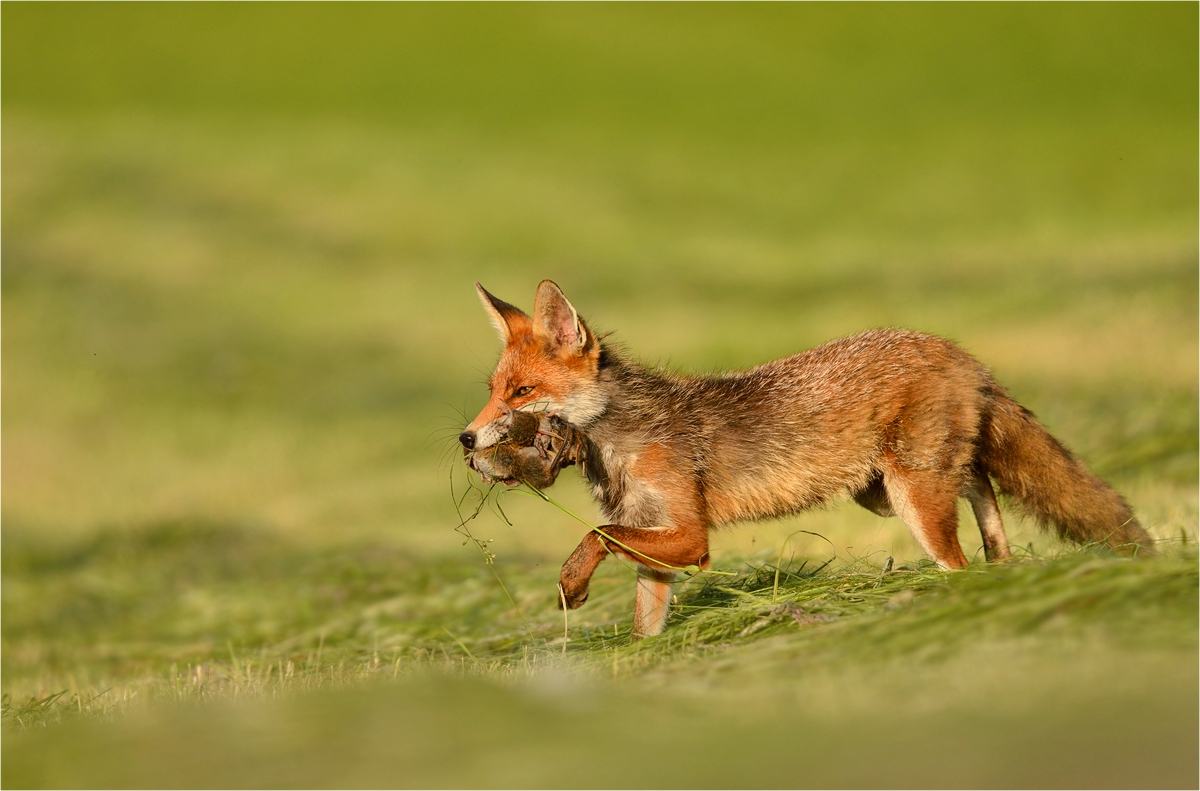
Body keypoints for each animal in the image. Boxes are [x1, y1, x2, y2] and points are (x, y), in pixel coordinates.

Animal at [460, 278, 1152, 638]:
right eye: (493, 389)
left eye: (522, 394)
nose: (466, 441)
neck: (623, 440)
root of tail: (957, 350)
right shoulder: (658, 547)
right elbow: (641, 626)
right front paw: (635, 667)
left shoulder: (691, 536)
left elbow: (598, 534)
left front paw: (571, 585)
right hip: (884, 490)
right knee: (981, 485)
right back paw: (1001, 565)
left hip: (910, 496)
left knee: (958, 553)